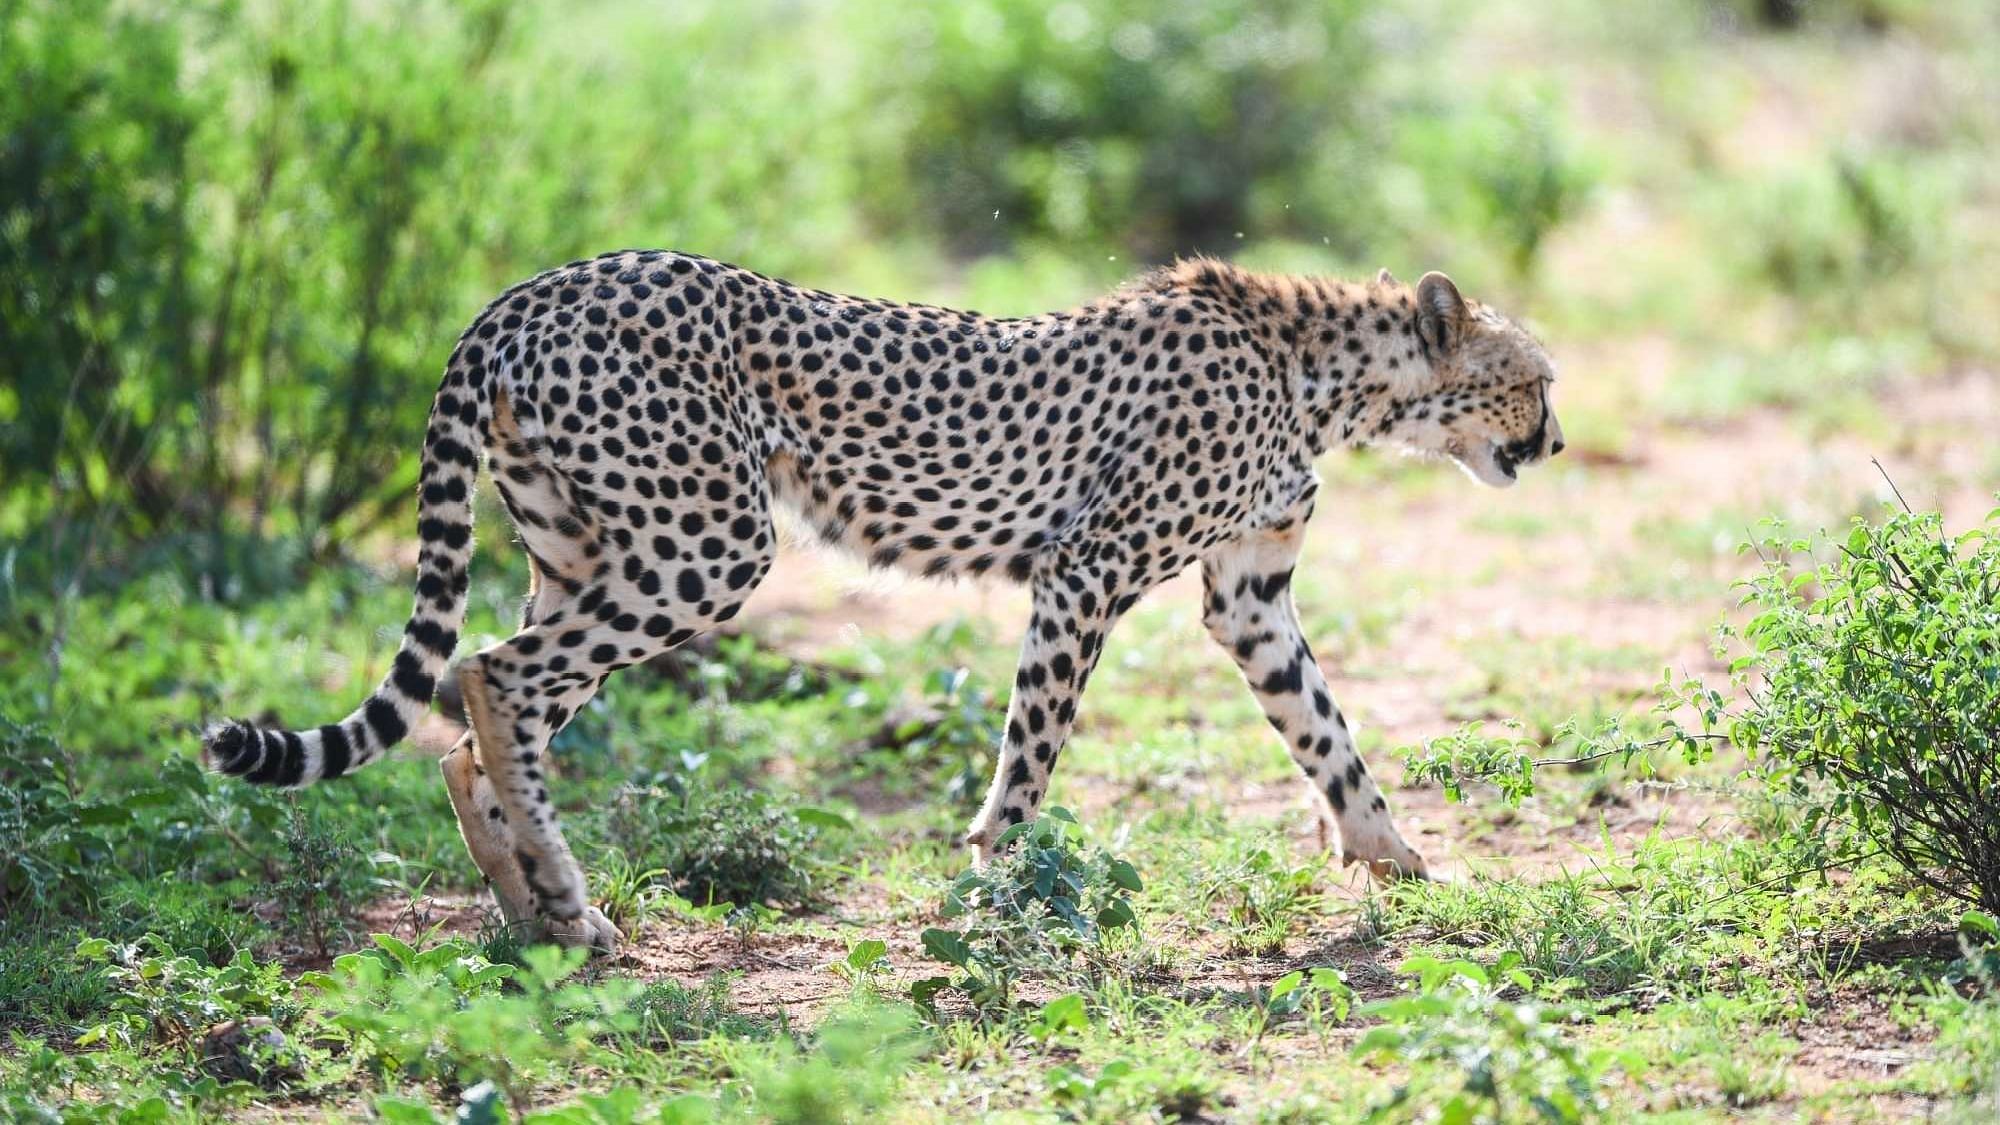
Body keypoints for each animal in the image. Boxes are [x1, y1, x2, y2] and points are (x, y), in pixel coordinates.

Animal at [211, 247, 1568, 944]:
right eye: (1536, 378)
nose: (1556, 443)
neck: (1328, 375)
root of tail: (533, 286)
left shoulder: (1247, 595)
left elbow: (1323, 728)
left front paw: (1396, 857)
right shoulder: (1085, 569)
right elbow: (1030, 753)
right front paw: (993, 888)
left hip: (591, 551)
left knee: (476, 707)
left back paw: (535, 908)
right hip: (707, 545)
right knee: (491, 674)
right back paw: (564, 898)